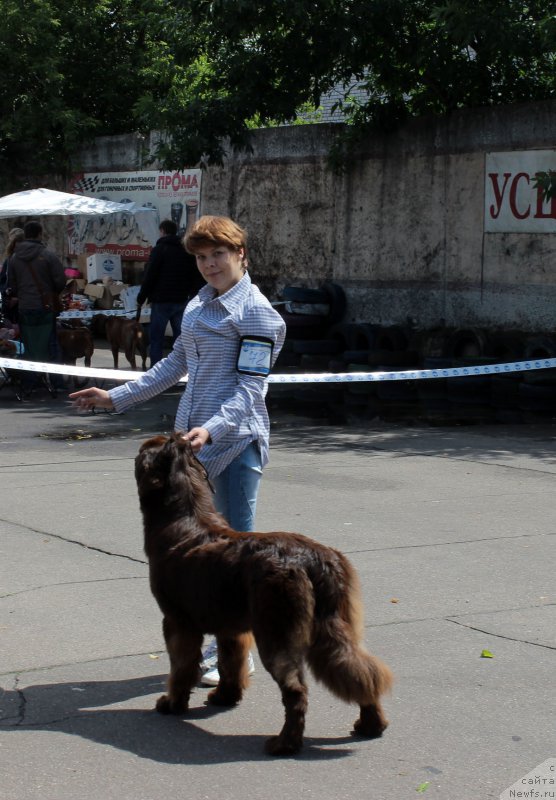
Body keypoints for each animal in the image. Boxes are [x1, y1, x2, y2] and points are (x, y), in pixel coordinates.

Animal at [135, 434, 394, 752]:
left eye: (141, 452)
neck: (185, 517)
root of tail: (313, 560)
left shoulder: (177, 621)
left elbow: (181, 667)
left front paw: (171, 704)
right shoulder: (231, 627)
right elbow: (230, 662)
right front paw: (225, 698)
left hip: (277, 626)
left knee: (296, 688)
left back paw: (284, 744)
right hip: (335, 622)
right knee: (361, 670)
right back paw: (371, 725)